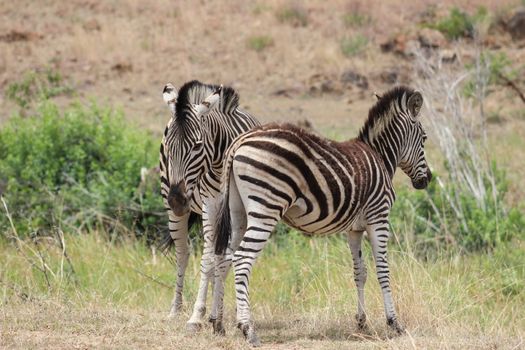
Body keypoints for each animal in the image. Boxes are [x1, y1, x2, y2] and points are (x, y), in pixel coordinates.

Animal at [158, 80, 260, 330]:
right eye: (169, 145)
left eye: (197, 145)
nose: (177, 201)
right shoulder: (210, 205)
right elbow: (207, 259)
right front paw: (198, 315)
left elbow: (224, 258)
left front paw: (222, 314)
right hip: (175, 210)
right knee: (183, 253)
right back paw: (176, 309)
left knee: (220, 256)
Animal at [211, 85, 432, 344]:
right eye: (424, 139)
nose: (426, 180)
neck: (380, 156)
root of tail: (240, 141)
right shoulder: (379, 217)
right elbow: (382, 270)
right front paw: (394, 323)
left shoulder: (354, 229)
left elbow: (360, 272)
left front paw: (361, 322)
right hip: (266, 207)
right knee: (242, 258)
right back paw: (248, 329)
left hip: (238, 212)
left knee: (224, 258)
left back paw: (218, 324)